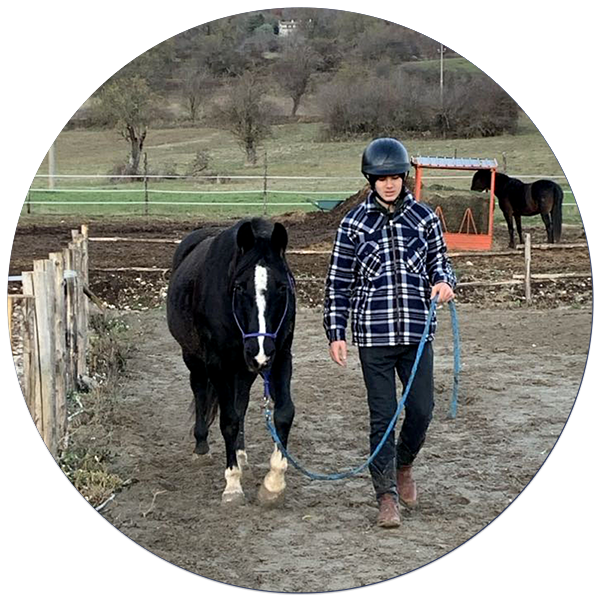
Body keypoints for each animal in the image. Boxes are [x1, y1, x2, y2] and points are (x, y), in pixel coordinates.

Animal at [166, 218, 296, 504]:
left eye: (282, 287)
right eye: (239, 287)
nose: (259, 350)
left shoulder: (281, 356)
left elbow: (283, 413)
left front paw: (273, 482)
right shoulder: (218, 364)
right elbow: (228, 420)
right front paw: (233, 485)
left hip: (246, 369)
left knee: (241, 402)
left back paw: (240, 452)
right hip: (195, 359)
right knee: (201, 393)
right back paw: (201, 446)